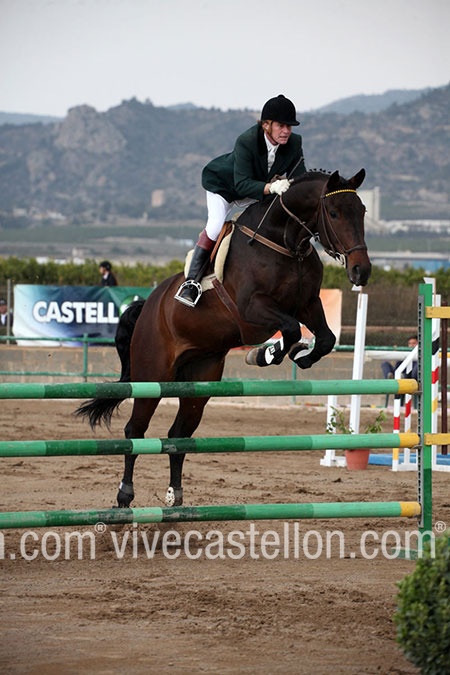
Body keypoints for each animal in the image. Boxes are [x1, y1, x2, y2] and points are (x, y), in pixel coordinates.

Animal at [75, 168, 371, 508]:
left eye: (362, 211)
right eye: (334, 213)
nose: (362, 272)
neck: (285, 243)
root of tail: (148, 304)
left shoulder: (307, 304)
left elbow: (325, 339)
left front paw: (298, 355)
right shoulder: (252, 308)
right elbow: (291, 329)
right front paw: (265, 354)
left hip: (199, 381)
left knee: (179, 435)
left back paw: (175, 496)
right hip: (152, 376)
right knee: (135, 430)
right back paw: (124, 495)